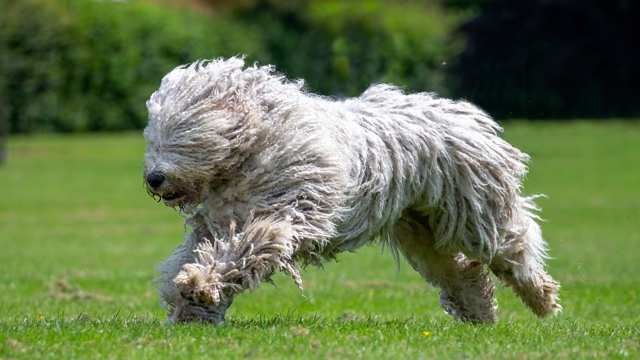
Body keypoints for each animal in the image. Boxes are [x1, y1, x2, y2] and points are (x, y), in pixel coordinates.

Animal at [141, 56, 560, 324]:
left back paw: (540, 297)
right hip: (419, 226)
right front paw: (191, 305)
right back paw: (480, 310)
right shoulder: (216, 222)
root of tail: (465, 116)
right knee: (457, 270)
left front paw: (201, 283)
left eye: (185, 136)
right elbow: (196, 253)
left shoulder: (290, 209)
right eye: (153, 137)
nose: (154, 179)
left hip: (473, 212)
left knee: (513, 246)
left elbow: (249, 246)